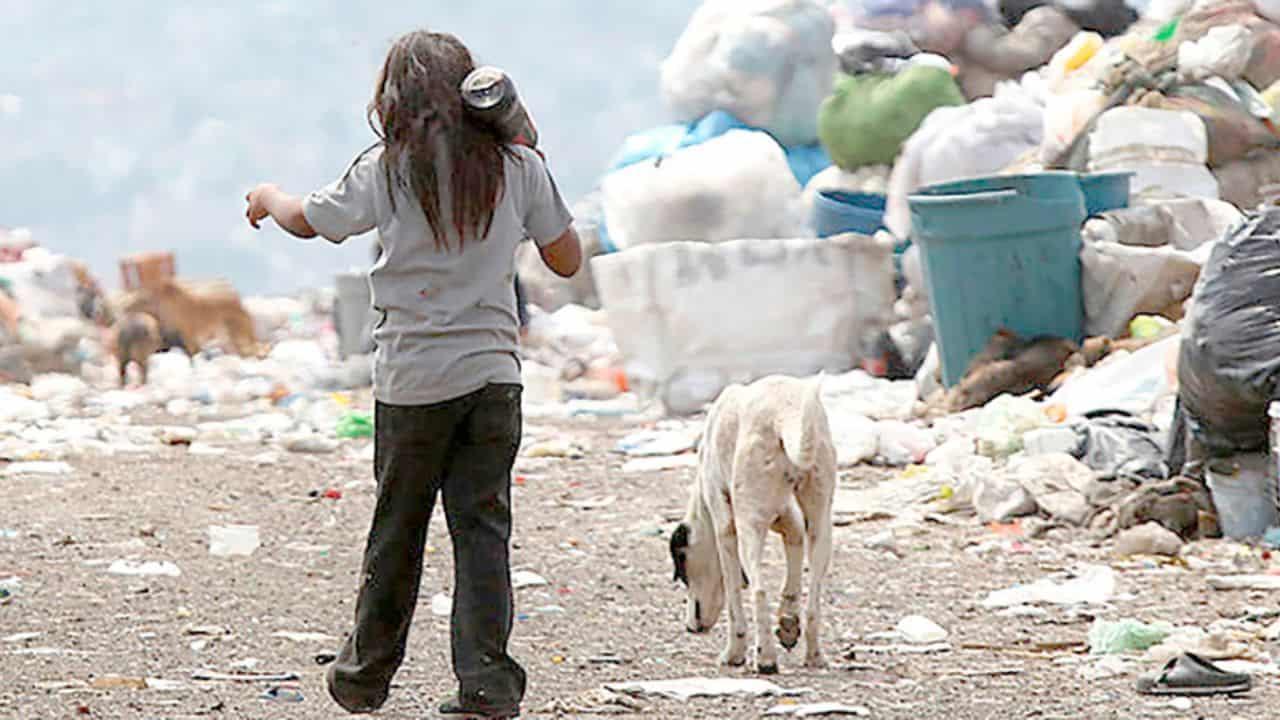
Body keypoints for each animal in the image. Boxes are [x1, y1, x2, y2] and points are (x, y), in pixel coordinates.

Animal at [670, 371, 839, 671]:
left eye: (683, 571)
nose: (689, 628)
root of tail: (783, 412)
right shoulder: (789, 521)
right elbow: (793, 569)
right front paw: (788, 622)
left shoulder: (726, 530)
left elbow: (734, 597)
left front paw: (734, 653)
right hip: (820, 524)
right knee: (813, 601)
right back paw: (814, 655)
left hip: (749, 526)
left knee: (759, 591)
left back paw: (766, 658)